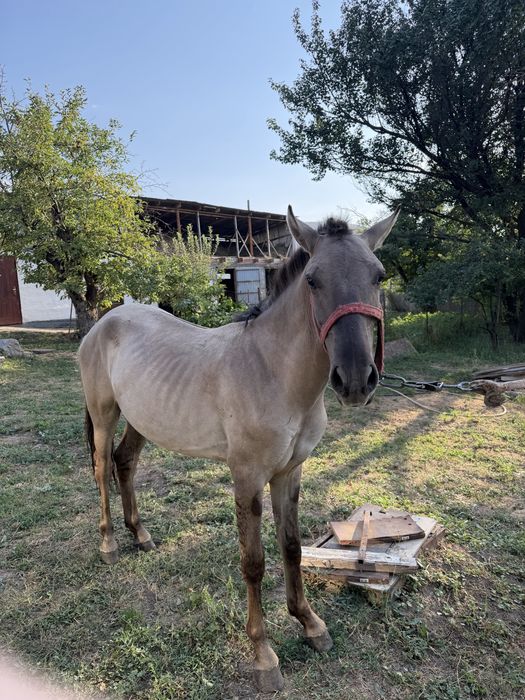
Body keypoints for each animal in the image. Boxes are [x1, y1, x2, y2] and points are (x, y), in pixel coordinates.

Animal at [79, 205, 399, 692]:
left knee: (124, 463)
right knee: (101, 468)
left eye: (379, 276)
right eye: (312, 280)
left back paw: (142, 535)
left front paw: (310, 624)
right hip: (104, 414)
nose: (357, 380)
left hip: (140, 420)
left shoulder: (290, 472)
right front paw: (264, 655)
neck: (272, 371)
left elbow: (292, 547)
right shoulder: (246, 477)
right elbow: (254, 562)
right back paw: (110, 542)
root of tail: (101, 325)